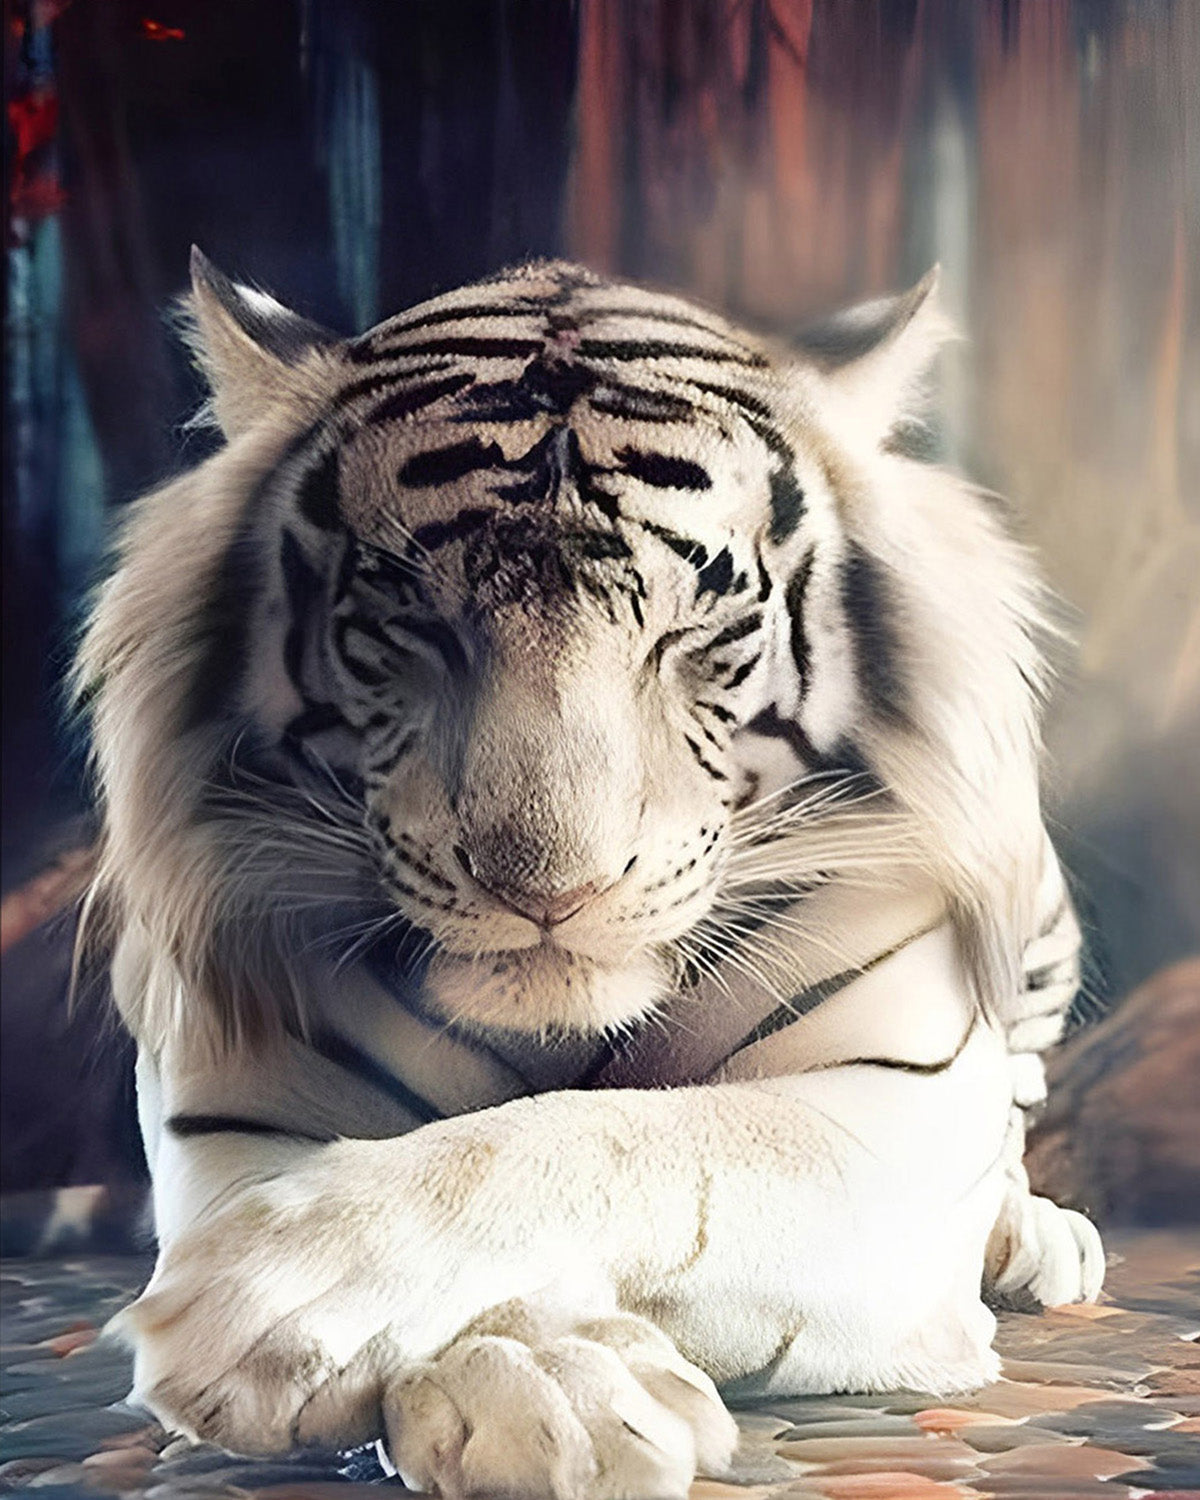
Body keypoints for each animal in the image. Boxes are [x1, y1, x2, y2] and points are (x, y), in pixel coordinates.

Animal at [76, 251, 1103, 1499]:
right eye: (410, 623)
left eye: (699, 632)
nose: (550, 893)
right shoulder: (232, 1113)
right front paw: (545, 1391)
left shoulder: (888, 1115)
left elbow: (628, 1139)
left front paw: (277, 1298)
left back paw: (1039, 1236)